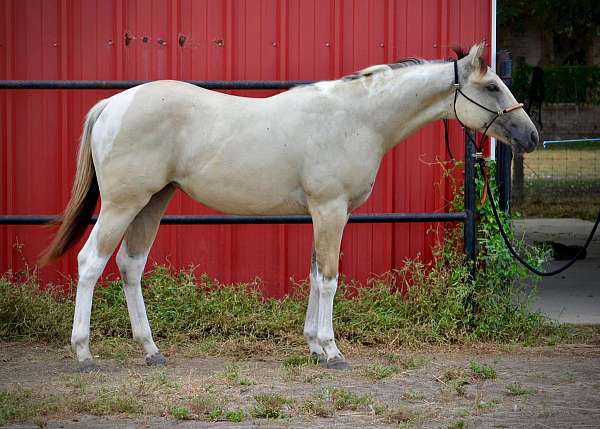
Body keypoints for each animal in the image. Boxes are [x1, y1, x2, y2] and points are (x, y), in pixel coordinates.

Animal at [41, 44, 540, 372]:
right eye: (492, 86)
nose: (531, 136)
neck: (355, 119)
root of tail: (113, 103)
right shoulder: (331, 210)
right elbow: (331, 278)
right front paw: (333, 351)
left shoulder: (324, 213)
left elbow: (315, 276)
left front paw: (314, 347)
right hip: (123, 204)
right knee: (90, 263)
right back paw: (84, 353)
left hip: (152, 202)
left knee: (130, 265)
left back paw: (151, 351)